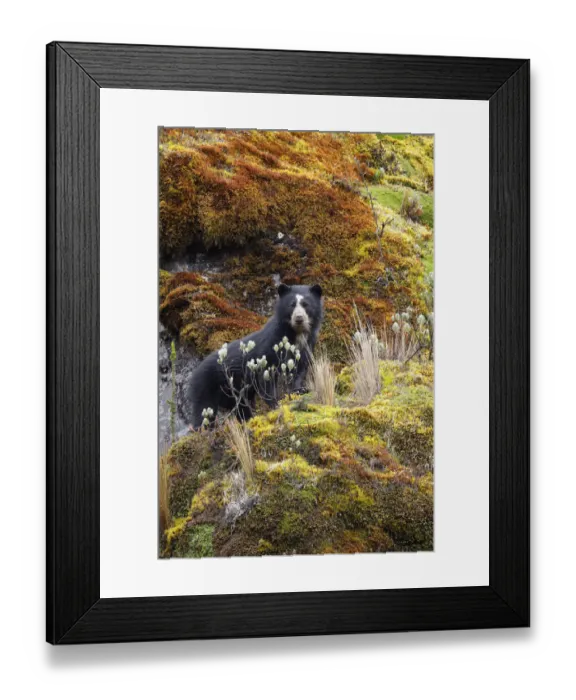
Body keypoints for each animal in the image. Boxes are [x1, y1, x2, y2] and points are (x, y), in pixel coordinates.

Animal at [186, 283, 323, 429]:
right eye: (291, 305)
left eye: (306, 304)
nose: (299, 318)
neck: (296, 334)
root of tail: (194, 373)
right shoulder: (270, 345)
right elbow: (266, 377)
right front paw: (275, 403)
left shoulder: (306, 346)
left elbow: (300, 368)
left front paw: (300, 390)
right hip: (206, 386)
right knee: (203, 411)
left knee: (241, 408)